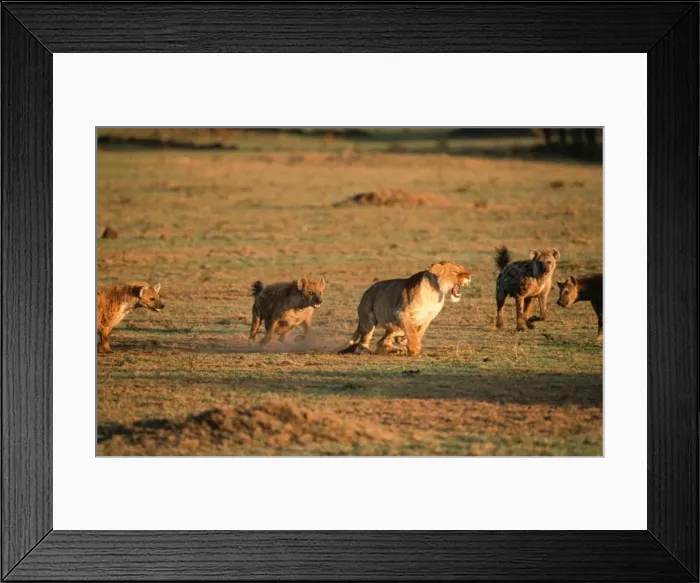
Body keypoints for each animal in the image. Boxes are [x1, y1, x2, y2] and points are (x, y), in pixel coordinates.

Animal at [339, 261, 471, 357]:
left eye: (463, 270)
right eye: (455, 271)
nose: (469, 276)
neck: (436, 292)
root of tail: (367, 291)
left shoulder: (428, 317)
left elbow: (420, 332)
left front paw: (404, 342)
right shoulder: (401, 313)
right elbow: (412, 331)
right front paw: (414, 350)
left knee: (382, 341)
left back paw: (398, 348)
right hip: (368, 320)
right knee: (362, 345)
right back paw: (369, 351)